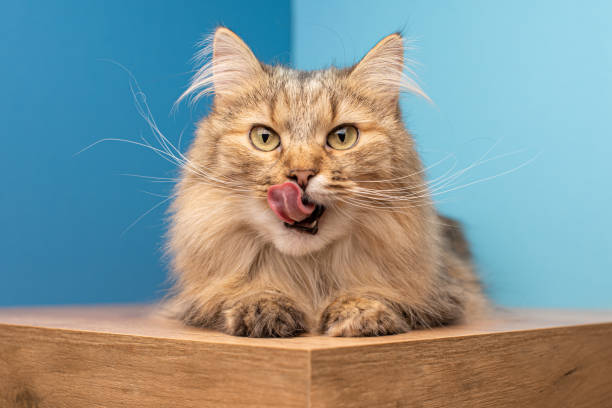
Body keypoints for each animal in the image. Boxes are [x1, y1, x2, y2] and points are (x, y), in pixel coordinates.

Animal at [165, 26, 486, 338]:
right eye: (264, 138)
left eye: (342, 137)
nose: (301, 174)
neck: (307, 274)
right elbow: (240, 291)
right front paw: (262, 303)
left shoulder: (452, 292)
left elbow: (381, 293)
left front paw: (359, 309)